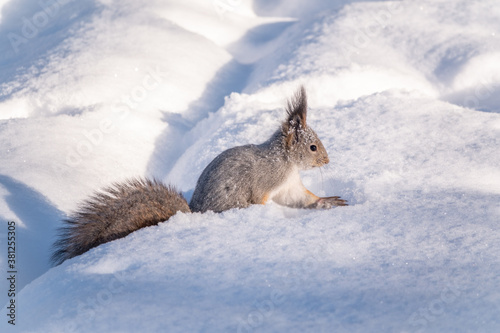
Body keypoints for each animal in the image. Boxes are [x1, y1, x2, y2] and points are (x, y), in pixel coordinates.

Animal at [51, 86, 348, 264]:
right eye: (312, 147)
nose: (327, 160)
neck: (285, 162)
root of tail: (194, 213)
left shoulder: (288, 186)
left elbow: (302, 198)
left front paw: (327, 202)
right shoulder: (268, 181)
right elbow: (264, 199)